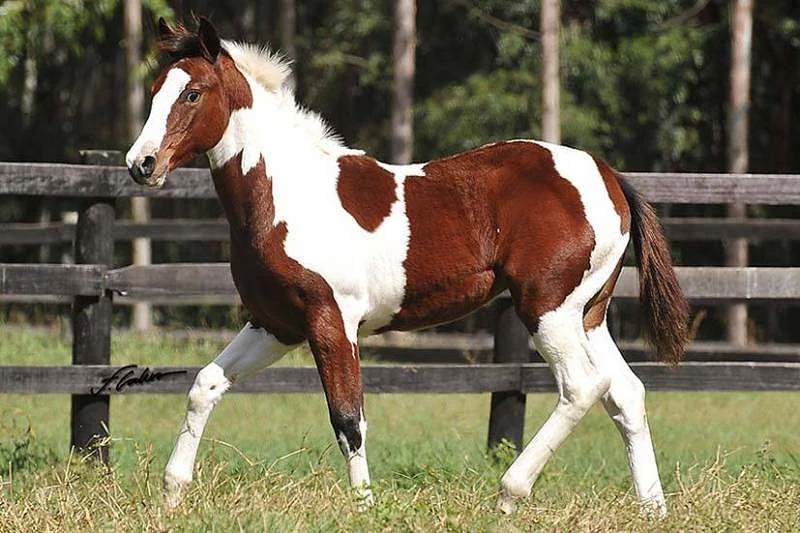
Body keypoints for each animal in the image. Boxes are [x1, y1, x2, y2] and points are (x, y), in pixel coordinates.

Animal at [126, 17, 689, 514]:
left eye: (192, 94)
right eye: (153, 91)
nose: (140, 165)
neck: (287, 194)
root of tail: (610, 178)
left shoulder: (332, 323)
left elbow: (348, 420)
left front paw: (363, 508)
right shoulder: (274, 325)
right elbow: (205, 385)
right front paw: (172, 494)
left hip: (547, 308)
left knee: (582, 387)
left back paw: (508, 494)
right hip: (587, 315)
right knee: (625, 393)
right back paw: (653, 509)